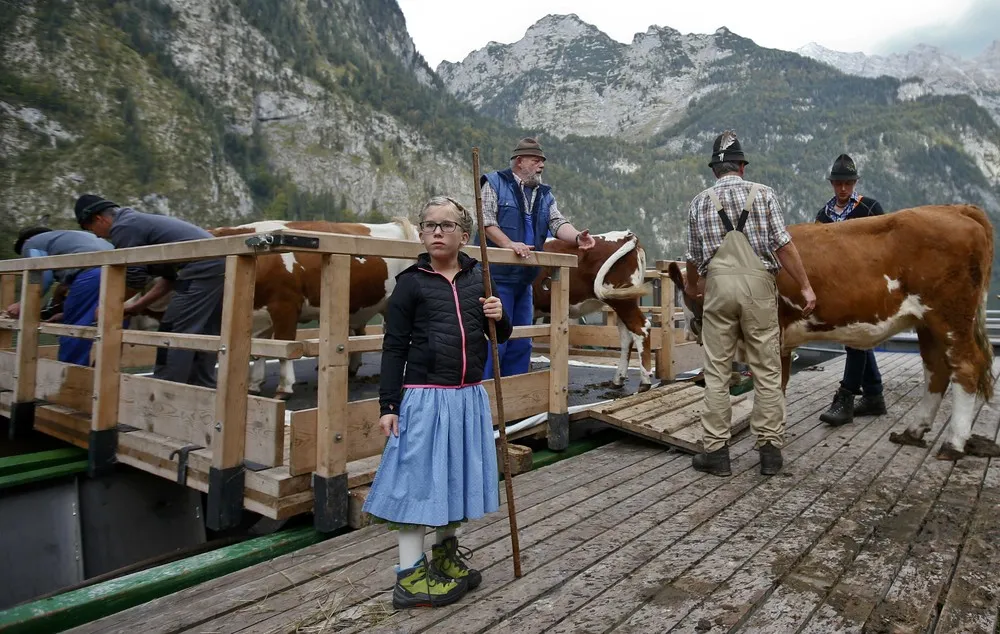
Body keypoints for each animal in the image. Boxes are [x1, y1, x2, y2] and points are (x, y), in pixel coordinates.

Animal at [211, 217, 418, 396]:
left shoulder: (285, 306)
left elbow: (284, 346)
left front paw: (284, 387)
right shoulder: (261, 314)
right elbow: (261, 348)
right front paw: (254, 384)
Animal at [532, 231, 656, 390]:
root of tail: (626, 235)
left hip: (622, 300)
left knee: (640, 327)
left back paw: (645, 380)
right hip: (623, 299)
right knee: (626, 336)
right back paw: (618, 379)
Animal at [668, 202, 996, 460]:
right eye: (687, 292)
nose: (698, 326)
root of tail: (955, 208)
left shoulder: (775, 336)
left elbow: (773, 388)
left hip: (950, 317)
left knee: (965, 368)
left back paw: (953, 444)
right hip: (927, 323)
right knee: (936, 370)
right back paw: (913, 432)